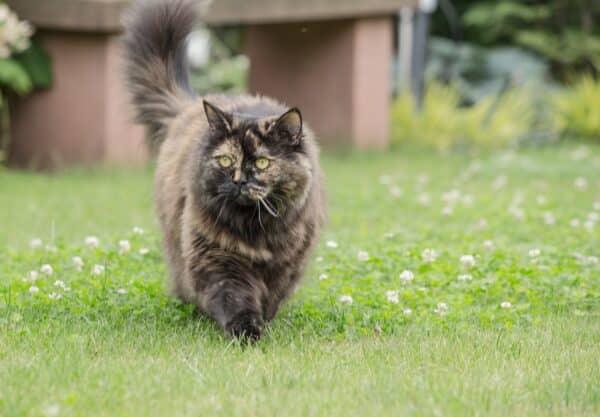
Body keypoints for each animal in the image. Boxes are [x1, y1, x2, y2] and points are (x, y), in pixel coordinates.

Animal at [122, 0, 326, 338]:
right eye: (226, 160)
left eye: (262, 162)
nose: (240, 180)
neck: (256, 229)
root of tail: (191, 106)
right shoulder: (217, 258)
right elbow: (235, 296)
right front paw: (246, 330)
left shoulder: (287, 264)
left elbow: (272, 295)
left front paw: (264, 320)